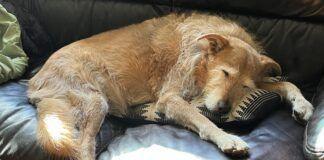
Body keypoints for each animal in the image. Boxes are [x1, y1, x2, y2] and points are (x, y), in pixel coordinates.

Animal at [28, 13, 314, 159]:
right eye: (224, 73)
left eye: (244, 87)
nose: (223, 109)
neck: (201, 64)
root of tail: (34, 82)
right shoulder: (170, 98)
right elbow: (204, 120)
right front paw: (227, 138)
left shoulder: (259, 82)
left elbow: (287, 83)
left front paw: (303, 106)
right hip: (95, 101)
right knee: (83, 146)